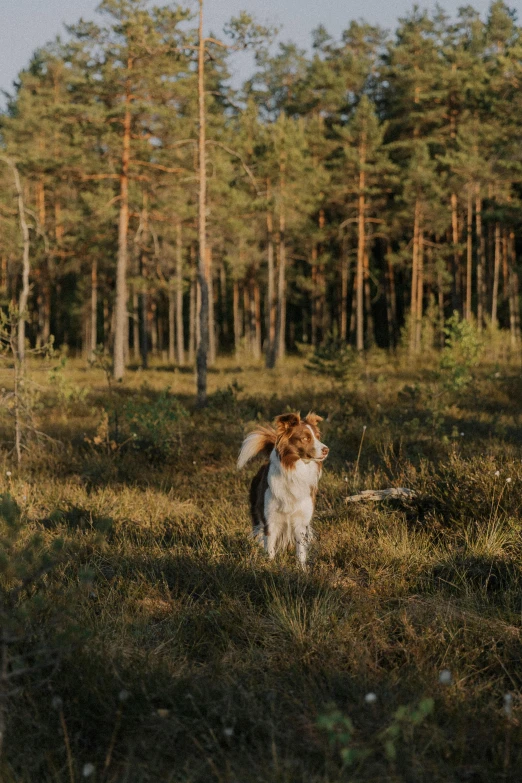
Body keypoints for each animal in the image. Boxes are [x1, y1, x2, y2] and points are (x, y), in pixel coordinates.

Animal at [237, 414, 328, 568]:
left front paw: (302, 570)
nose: (326, 449)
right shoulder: (270, 520)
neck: (295, 471)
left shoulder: (301, 522)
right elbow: (270, 548)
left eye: (317, 437)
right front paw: (270, 566)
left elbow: (301, 551)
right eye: (305, 438)